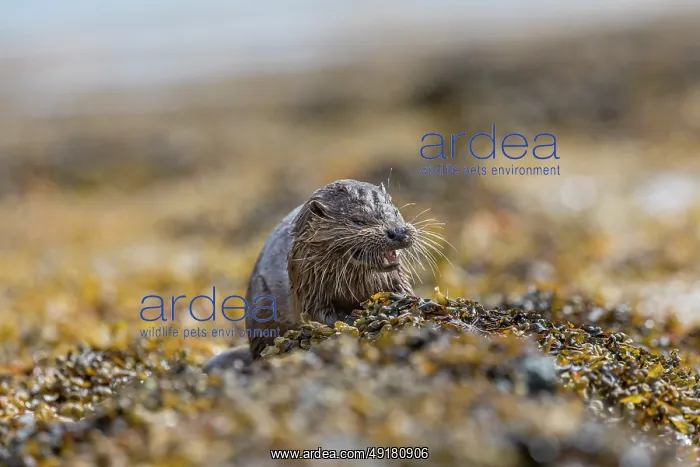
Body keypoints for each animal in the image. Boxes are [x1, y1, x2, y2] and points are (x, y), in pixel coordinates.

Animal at [202, 179, 427, 372]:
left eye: (396, 212)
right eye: (359, 220)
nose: (398, 232)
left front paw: (414, 303)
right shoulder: (308, 288)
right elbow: (319, 316)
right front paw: (354, 318)